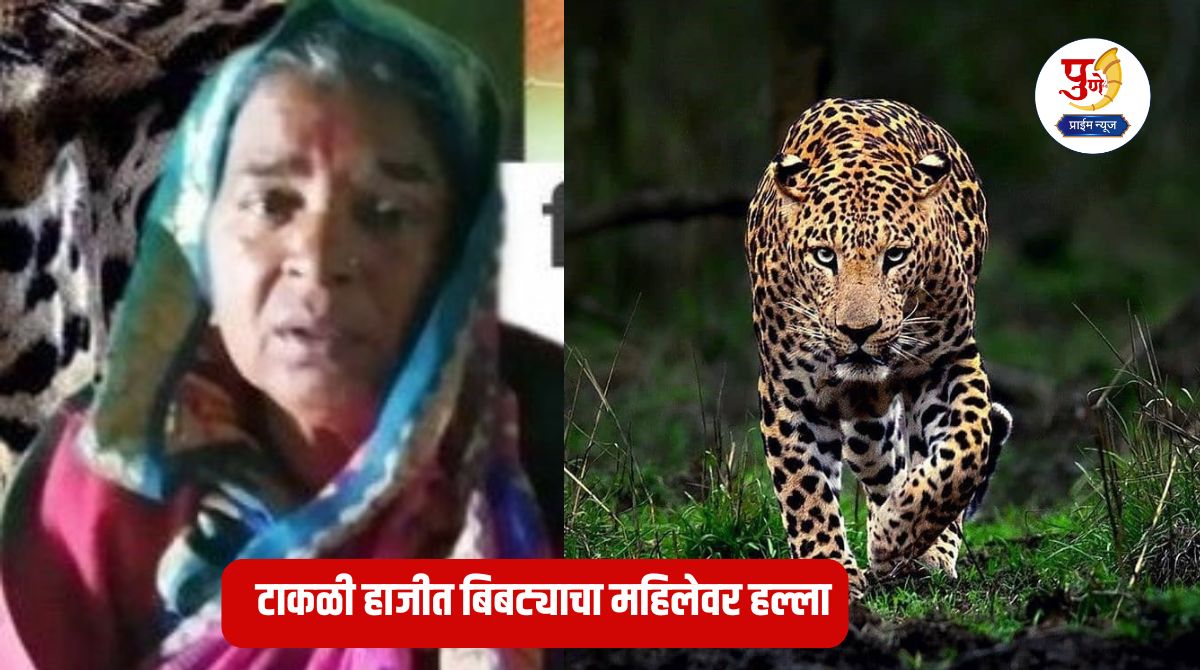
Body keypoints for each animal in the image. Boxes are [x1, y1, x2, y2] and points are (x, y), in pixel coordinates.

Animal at [745, 97, 1012, 598]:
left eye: (896, 256)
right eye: (824, 256)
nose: (858, 331)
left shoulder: (950, 359)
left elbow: (967, 448)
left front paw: (897, 534)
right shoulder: (788, 392)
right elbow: (806, 492)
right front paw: (832, 569)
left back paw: (922, 551)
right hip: (866, 423)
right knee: (882, 465)